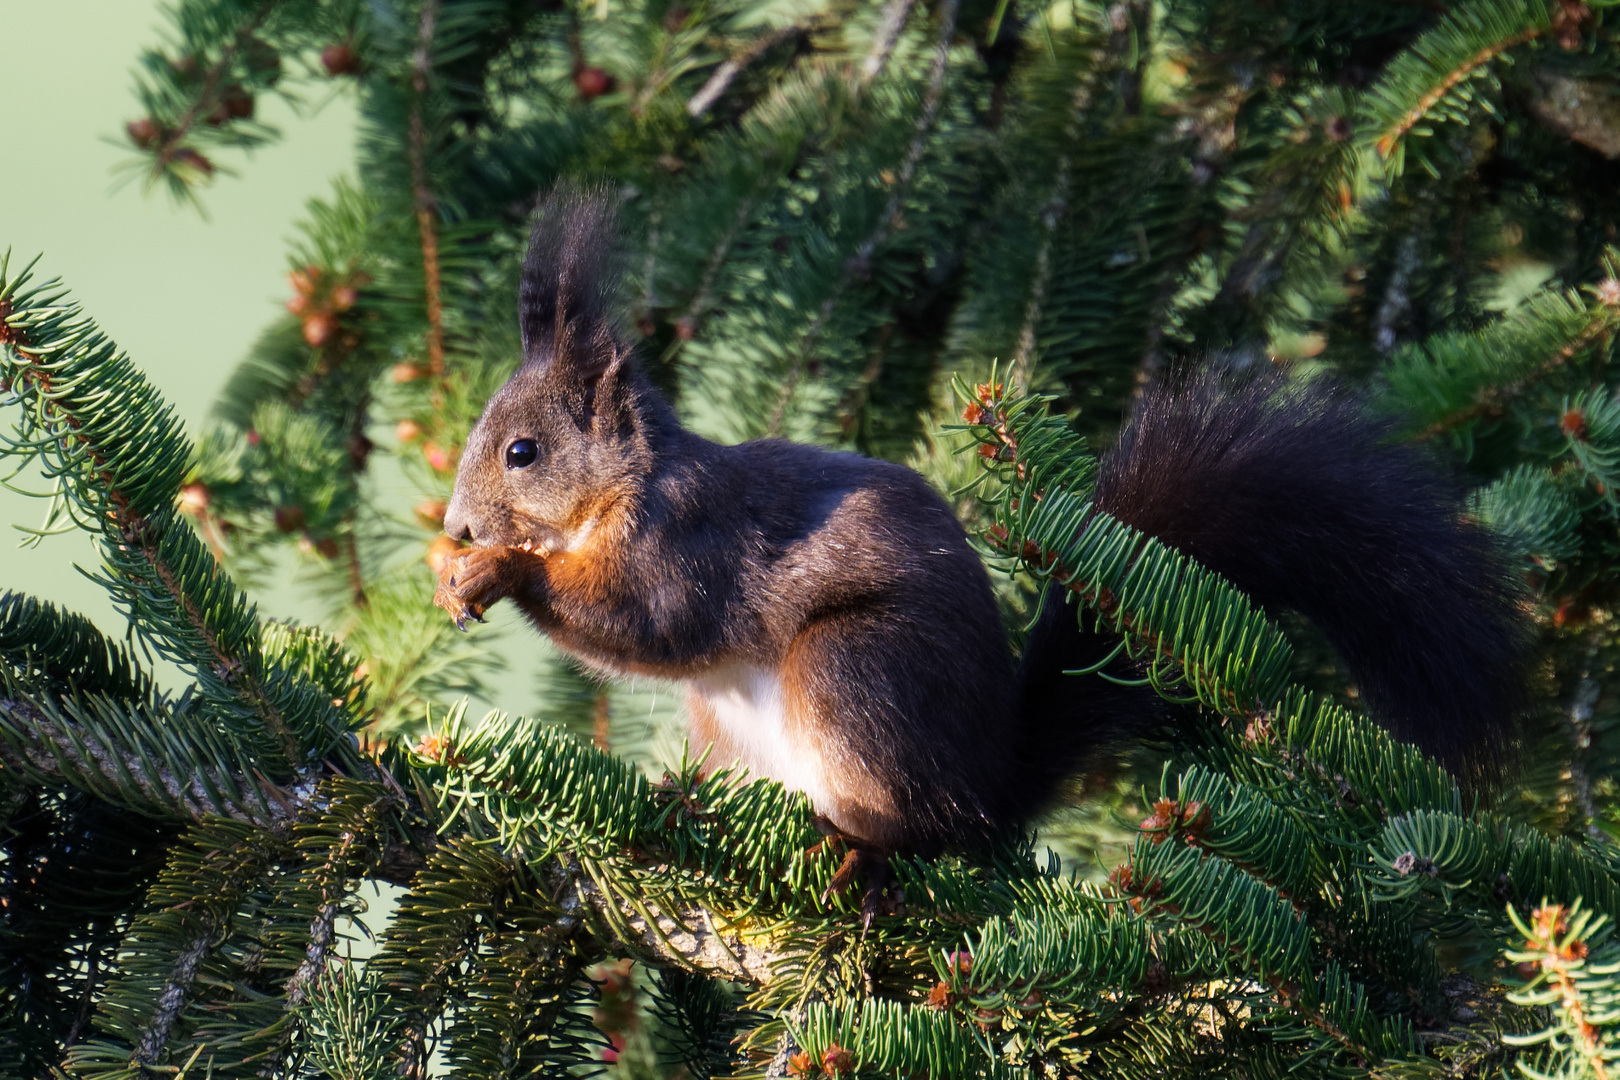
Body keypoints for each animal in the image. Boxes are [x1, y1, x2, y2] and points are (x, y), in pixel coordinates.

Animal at [434, 187, 1529, 861]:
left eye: (521, 452)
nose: (456, 525)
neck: (625, 487)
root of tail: (990, 786)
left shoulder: (689, 539)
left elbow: (650, 622)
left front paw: (503, 574)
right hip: (728, 725)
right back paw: (687, 802)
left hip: (855, 669)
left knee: (921, 828)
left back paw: (858, 846)